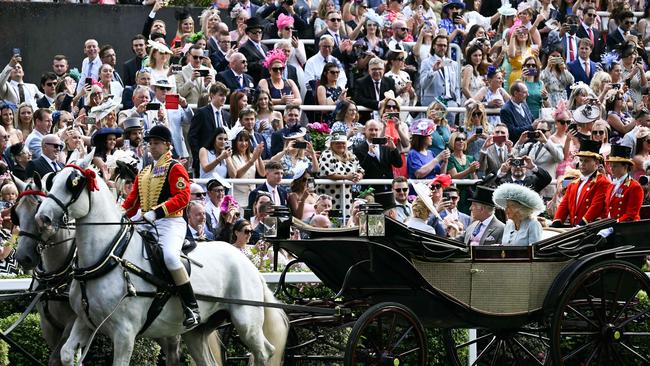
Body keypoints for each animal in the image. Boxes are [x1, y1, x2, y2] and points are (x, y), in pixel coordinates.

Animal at [34, 153, 288, 364]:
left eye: (73, 184)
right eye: (52, 181)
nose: (42, 219)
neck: (109, 257)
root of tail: (245, 260)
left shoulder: (124, 334)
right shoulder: (84, 321)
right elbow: (67, 354)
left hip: (246, 321)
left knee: (264, 352)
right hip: (197, 333)